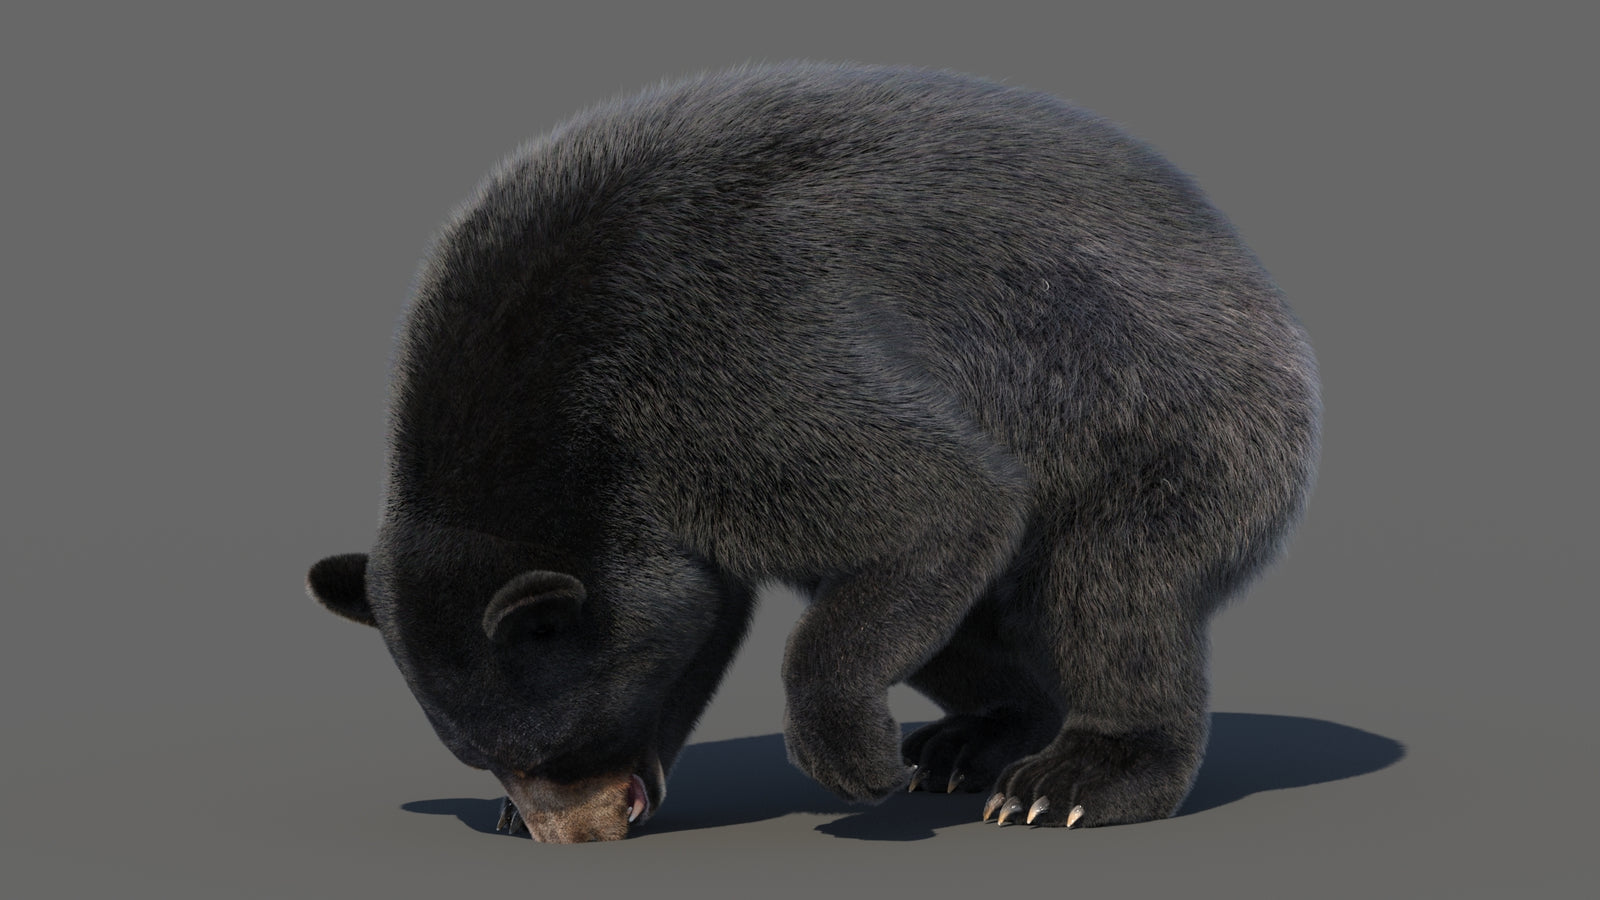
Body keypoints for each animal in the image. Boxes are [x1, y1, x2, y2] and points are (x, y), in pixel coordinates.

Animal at [306, 61, 1320, 843]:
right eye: (483, 754)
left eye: (556, 742)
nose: (576, 832)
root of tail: (1253, 272)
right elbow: (727, 603)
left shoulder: (723, 373)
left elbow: (946, 501)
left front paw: (855, 762)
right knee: (965, 621)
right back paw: (972, 737)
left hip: (1168, 415)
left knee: (1116, 590)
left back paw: (1069, 780)